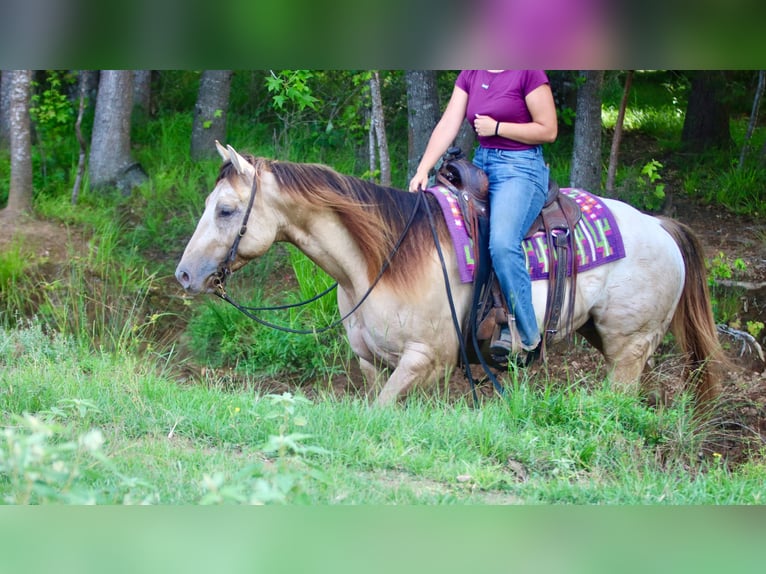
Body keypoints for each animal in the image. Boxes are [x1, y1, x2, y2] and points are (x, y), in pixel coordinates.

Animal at [175, 143, 723, 408]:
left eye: (226, 210)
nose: (183, 275)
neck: (382, 261)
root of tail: (660, 226)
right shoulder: (372, 361)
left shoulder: (426, 358)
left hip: (631, 345)